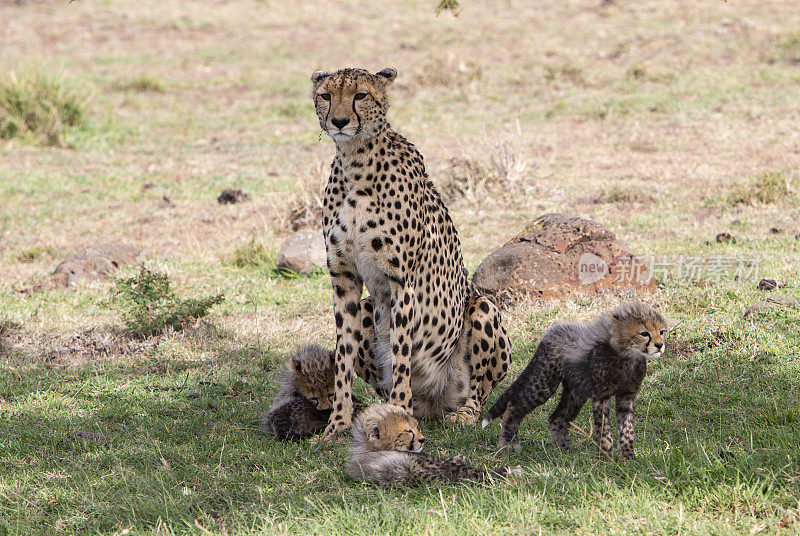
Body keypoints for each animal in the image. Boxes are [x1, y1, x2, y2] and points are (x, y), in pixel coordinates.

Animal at [312, 66, 512, 440]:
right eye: (326, 96)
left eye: (360, 95)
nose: (340, 121)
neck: (355, 161)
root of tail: (433, 404)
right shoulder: (344, 280)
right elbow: (343, 357)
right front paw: (338, 423)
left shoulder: (401, 282)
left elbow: (401, 355)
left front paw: (399, 414)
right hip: (368, 309)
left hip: (483, 310)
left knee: (478, 394)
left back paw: (461, 413)